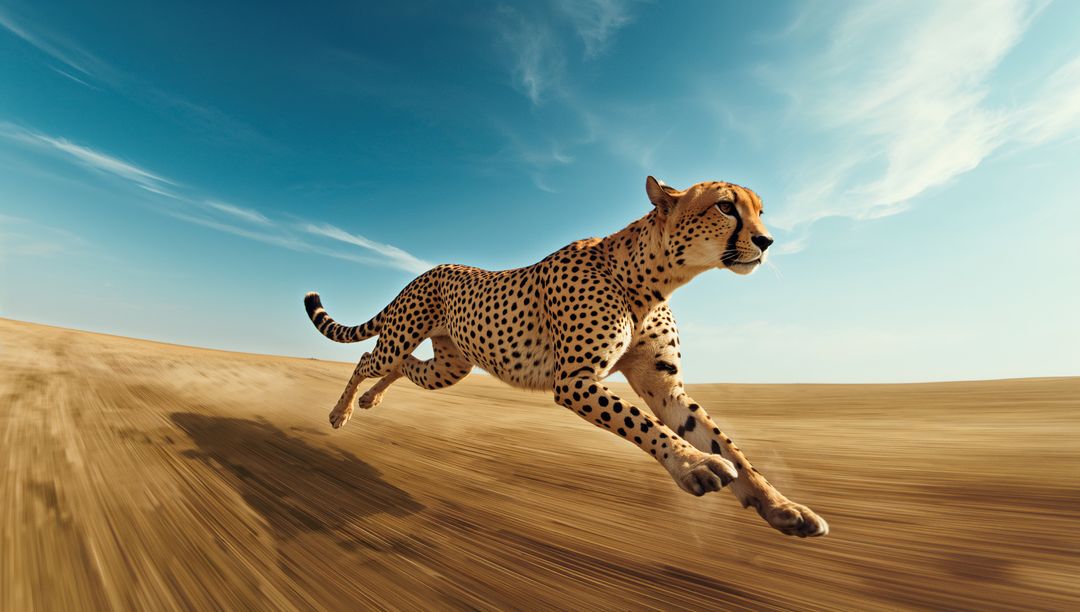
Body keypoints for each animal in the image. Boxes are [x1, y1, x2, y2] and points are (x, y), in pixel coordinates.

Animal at [304, 176, 828, 537]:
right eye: (725, 207)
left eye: (761, 212)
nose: (766, 241)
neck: (651, 279)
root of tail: (430, 268)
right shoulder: (575, 382)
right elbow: (644, 424)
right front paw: (693, 464)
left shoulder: (664, 384)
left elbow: (727, 445)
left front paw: (783, 507)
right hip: (404, 337)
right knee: (369, 357)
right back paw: (340, 411)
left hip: (451, 366)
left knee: (401, 366)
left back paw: (370, 400)